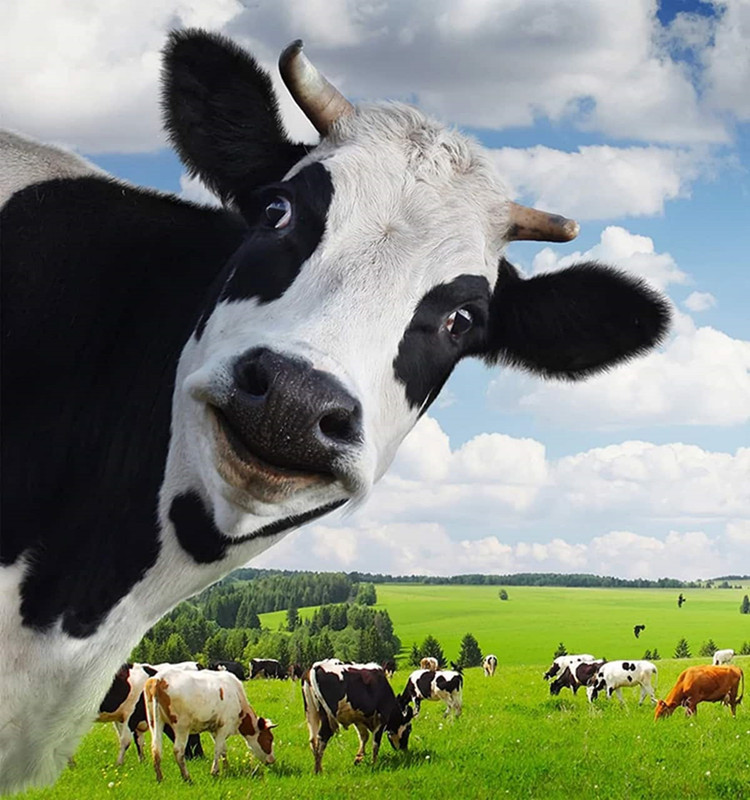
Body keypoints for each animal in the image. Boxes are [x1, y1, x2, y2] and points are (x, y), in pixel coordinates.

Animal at [144, 667, 275, 782]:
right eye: (269, 739)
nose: (272, 760)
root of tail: (159, 678)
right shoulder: (224, 726)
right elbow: (218, 749)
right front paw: (215, 772)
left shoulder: (214, 729)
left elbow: (223, 749)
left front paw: (227, 769)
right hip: (182, 726)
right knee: (178, 751)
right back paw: (187, 778)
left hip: (155, 722)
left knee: (156, 749)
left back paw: (160, 778)